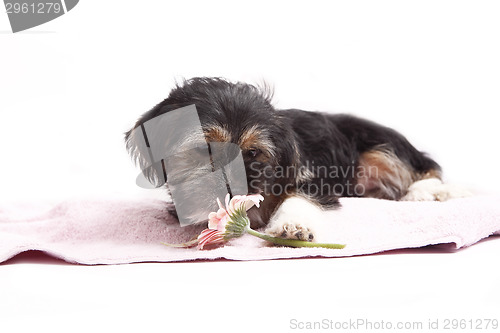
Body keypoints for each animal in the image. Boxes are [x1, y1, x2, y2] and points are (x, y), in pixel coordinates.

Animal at [125, 76, 468, 240]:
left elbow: (298, 198)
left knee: (425, 169)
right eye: (203, 150)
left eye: (252, 153)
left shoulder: (313, 179)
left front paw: (293, 227)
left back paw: (428, 192)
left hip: (382, 148)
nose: (232, 189)